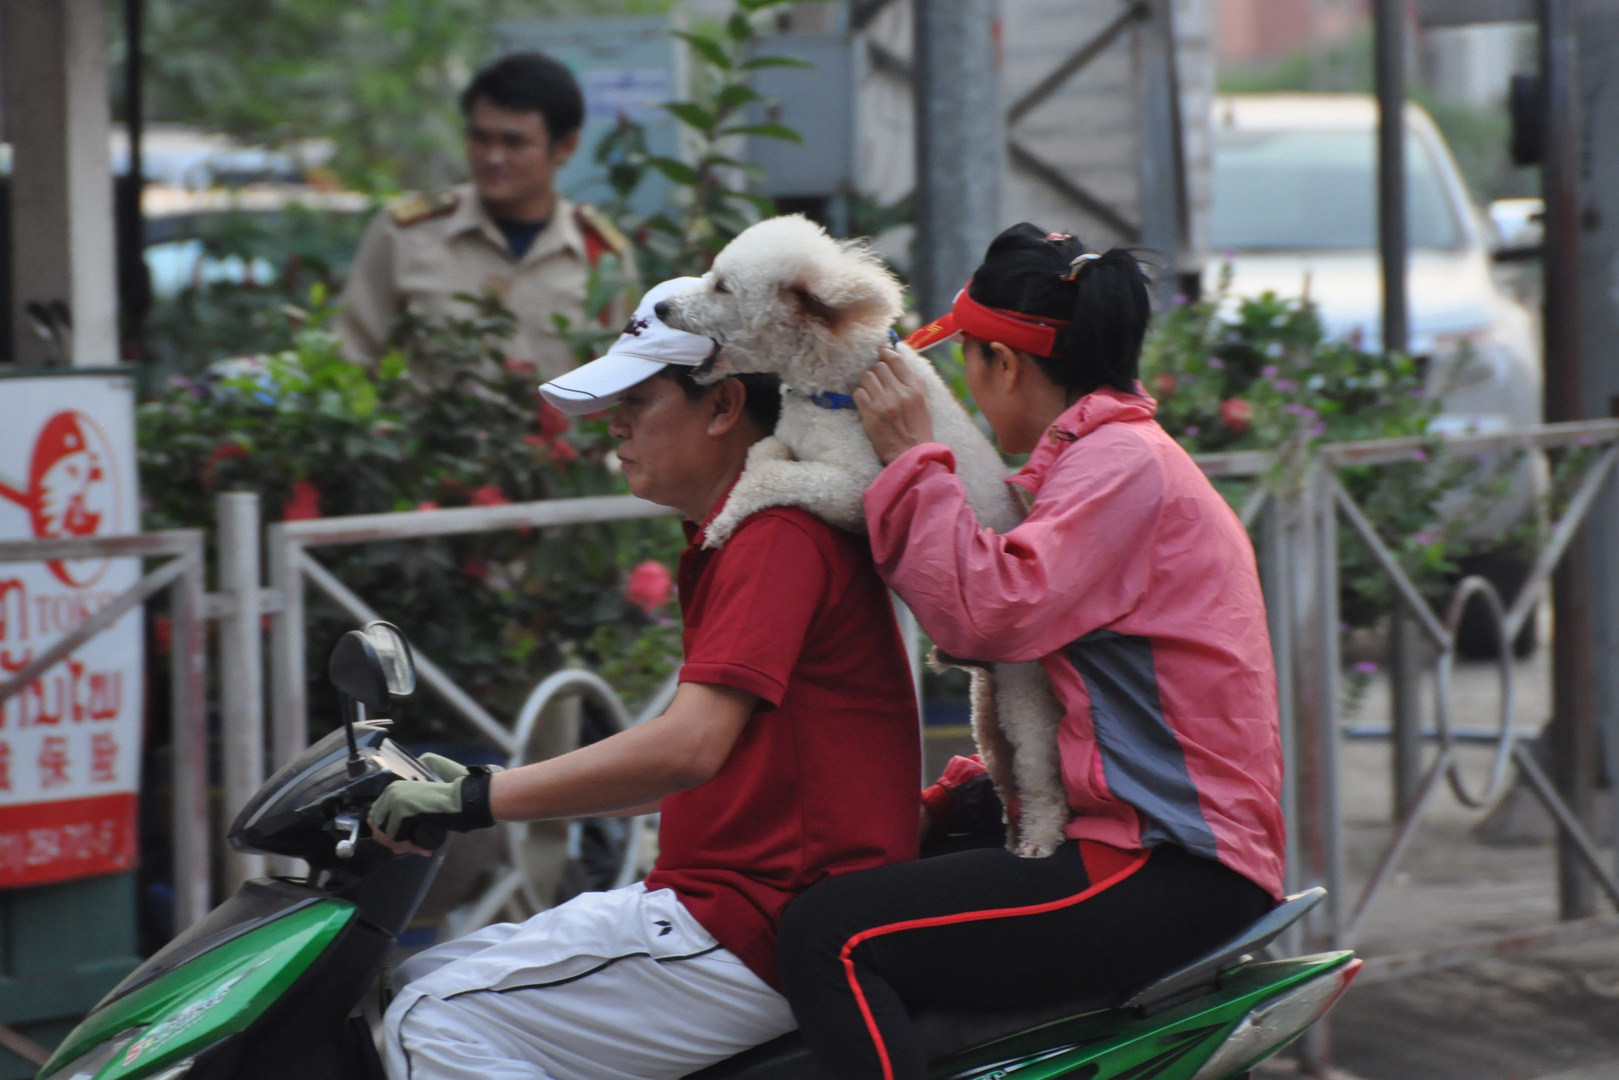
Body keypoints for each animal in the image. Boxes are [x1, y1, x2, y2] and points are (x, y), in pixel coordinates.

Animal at [650, 215, 1068, 861]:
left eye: (721, 286)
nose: (662, 306)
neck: (837, 382)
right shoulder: (789, 440)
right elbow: (763, 455)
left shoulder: (861, 488)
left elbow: (771, 477)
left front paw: (722, 526)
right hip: (987, 707)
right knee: (1005, 771)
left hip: (1026, 689)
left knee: (1039, 766)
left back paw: (1042, 839)